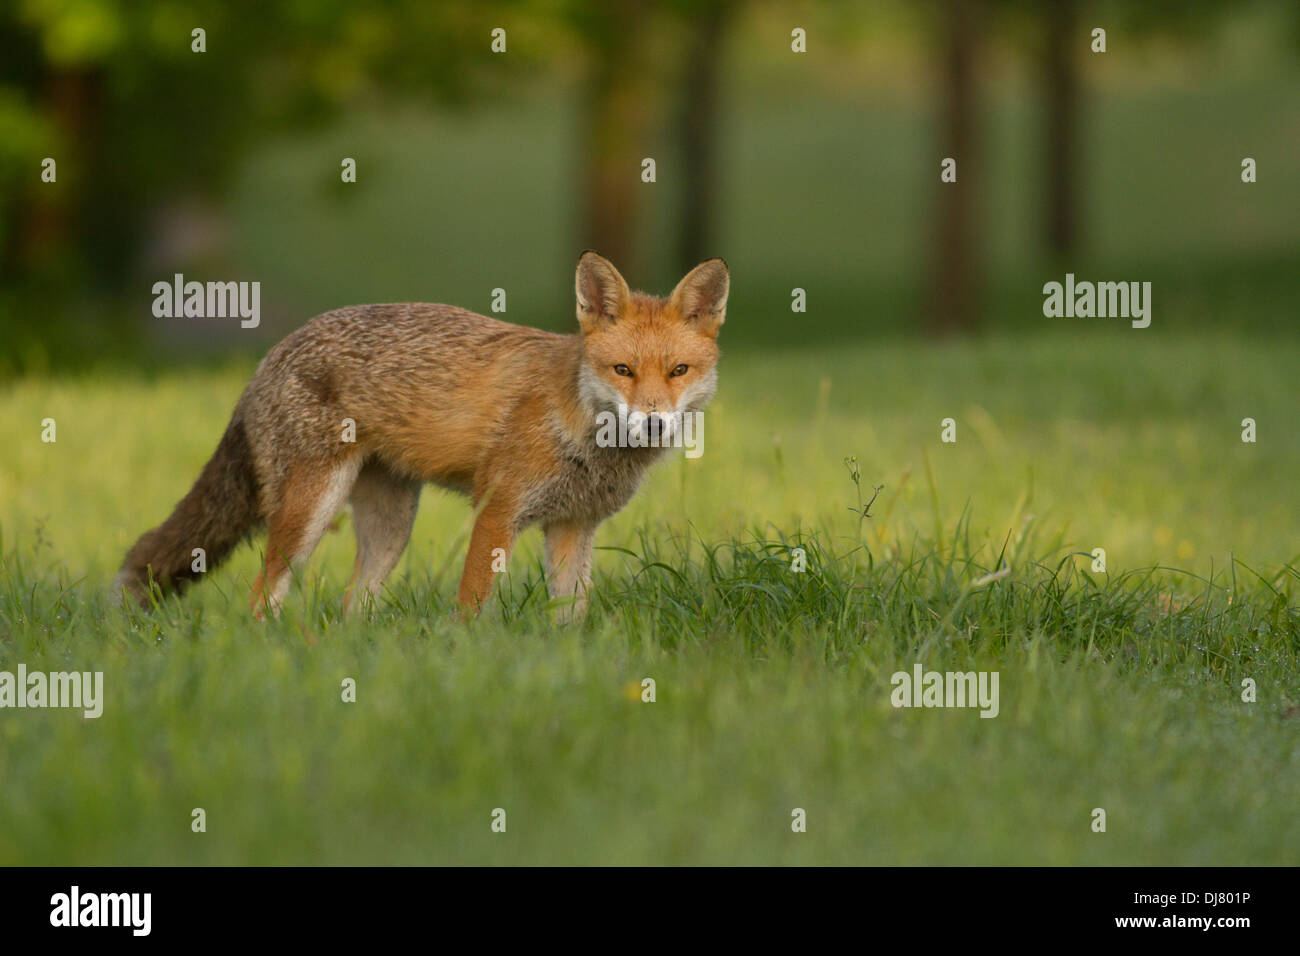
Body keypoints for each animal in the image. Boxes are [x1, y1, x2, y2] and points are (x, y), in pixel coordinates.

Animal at [115, 251, 729, 619]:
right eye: (623, 370)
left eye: (678, 372)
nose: (653, 421)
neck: (580, 431)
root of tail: (272, 351)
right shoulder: (497, 511)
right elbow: (472, 608)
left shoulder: (572, 526)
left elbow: (569, 620)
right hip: (308, 512)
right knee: (261, 596)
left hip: (391, 527)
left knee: (351, 606)